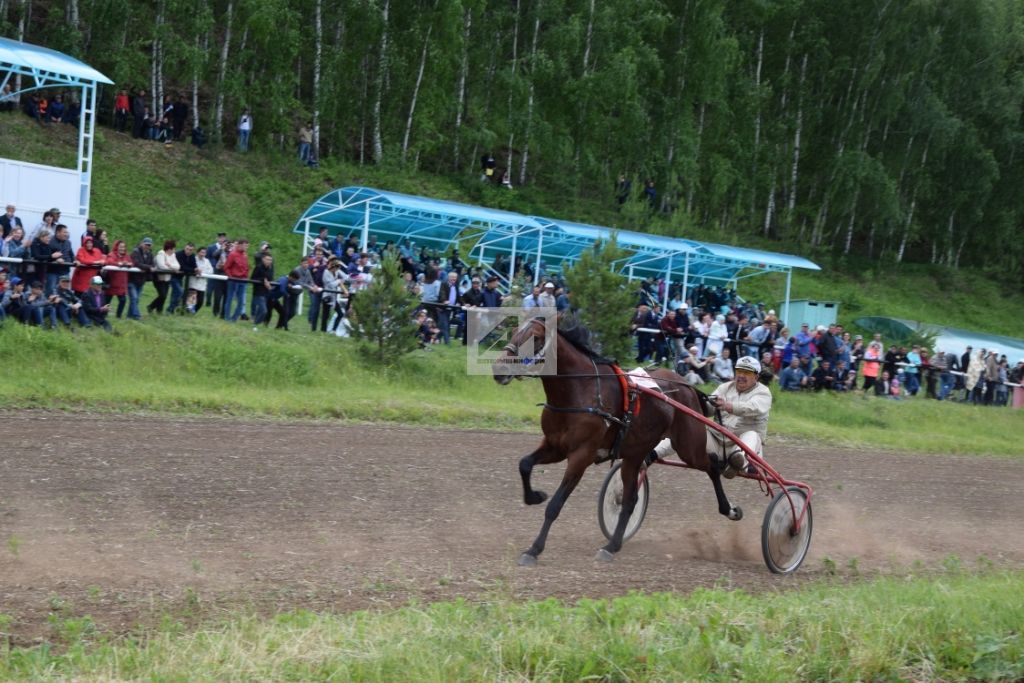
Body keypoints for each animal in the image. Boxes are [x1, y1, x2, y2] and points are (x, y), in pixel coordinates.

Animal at [491, 317, 741, 565]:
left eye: (536, 337)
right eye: (514, 331)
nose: (499, 368)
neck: (580, 390)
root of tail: (688, 386)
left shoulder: (581, 456)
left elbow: (555, 505)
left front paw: (534, 549)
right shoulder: (554, 446)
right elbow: (524, 464)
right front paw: (535, 496)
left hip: (688, 447)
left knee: (712, 465)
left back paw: (730, 509)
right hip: (635, 454)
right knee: (630, 500)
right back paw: (612, 545)